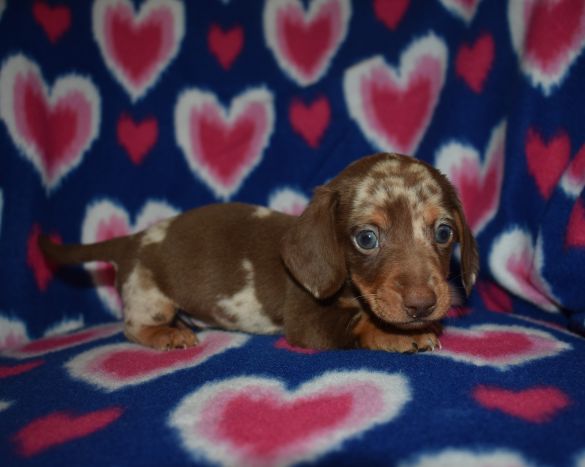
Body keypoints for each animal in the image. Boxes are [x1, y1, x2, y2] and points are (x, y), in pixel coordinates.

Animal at [40, 153, 478, 353]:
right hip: (148, 294)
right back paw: (167, 334)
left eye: (443, 232)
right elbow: (358, 324)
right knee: (132, 327)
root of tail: (132, 238)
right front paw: (397, 333)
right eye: (366, 239)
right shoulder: (307, 318)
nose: (422, 305)